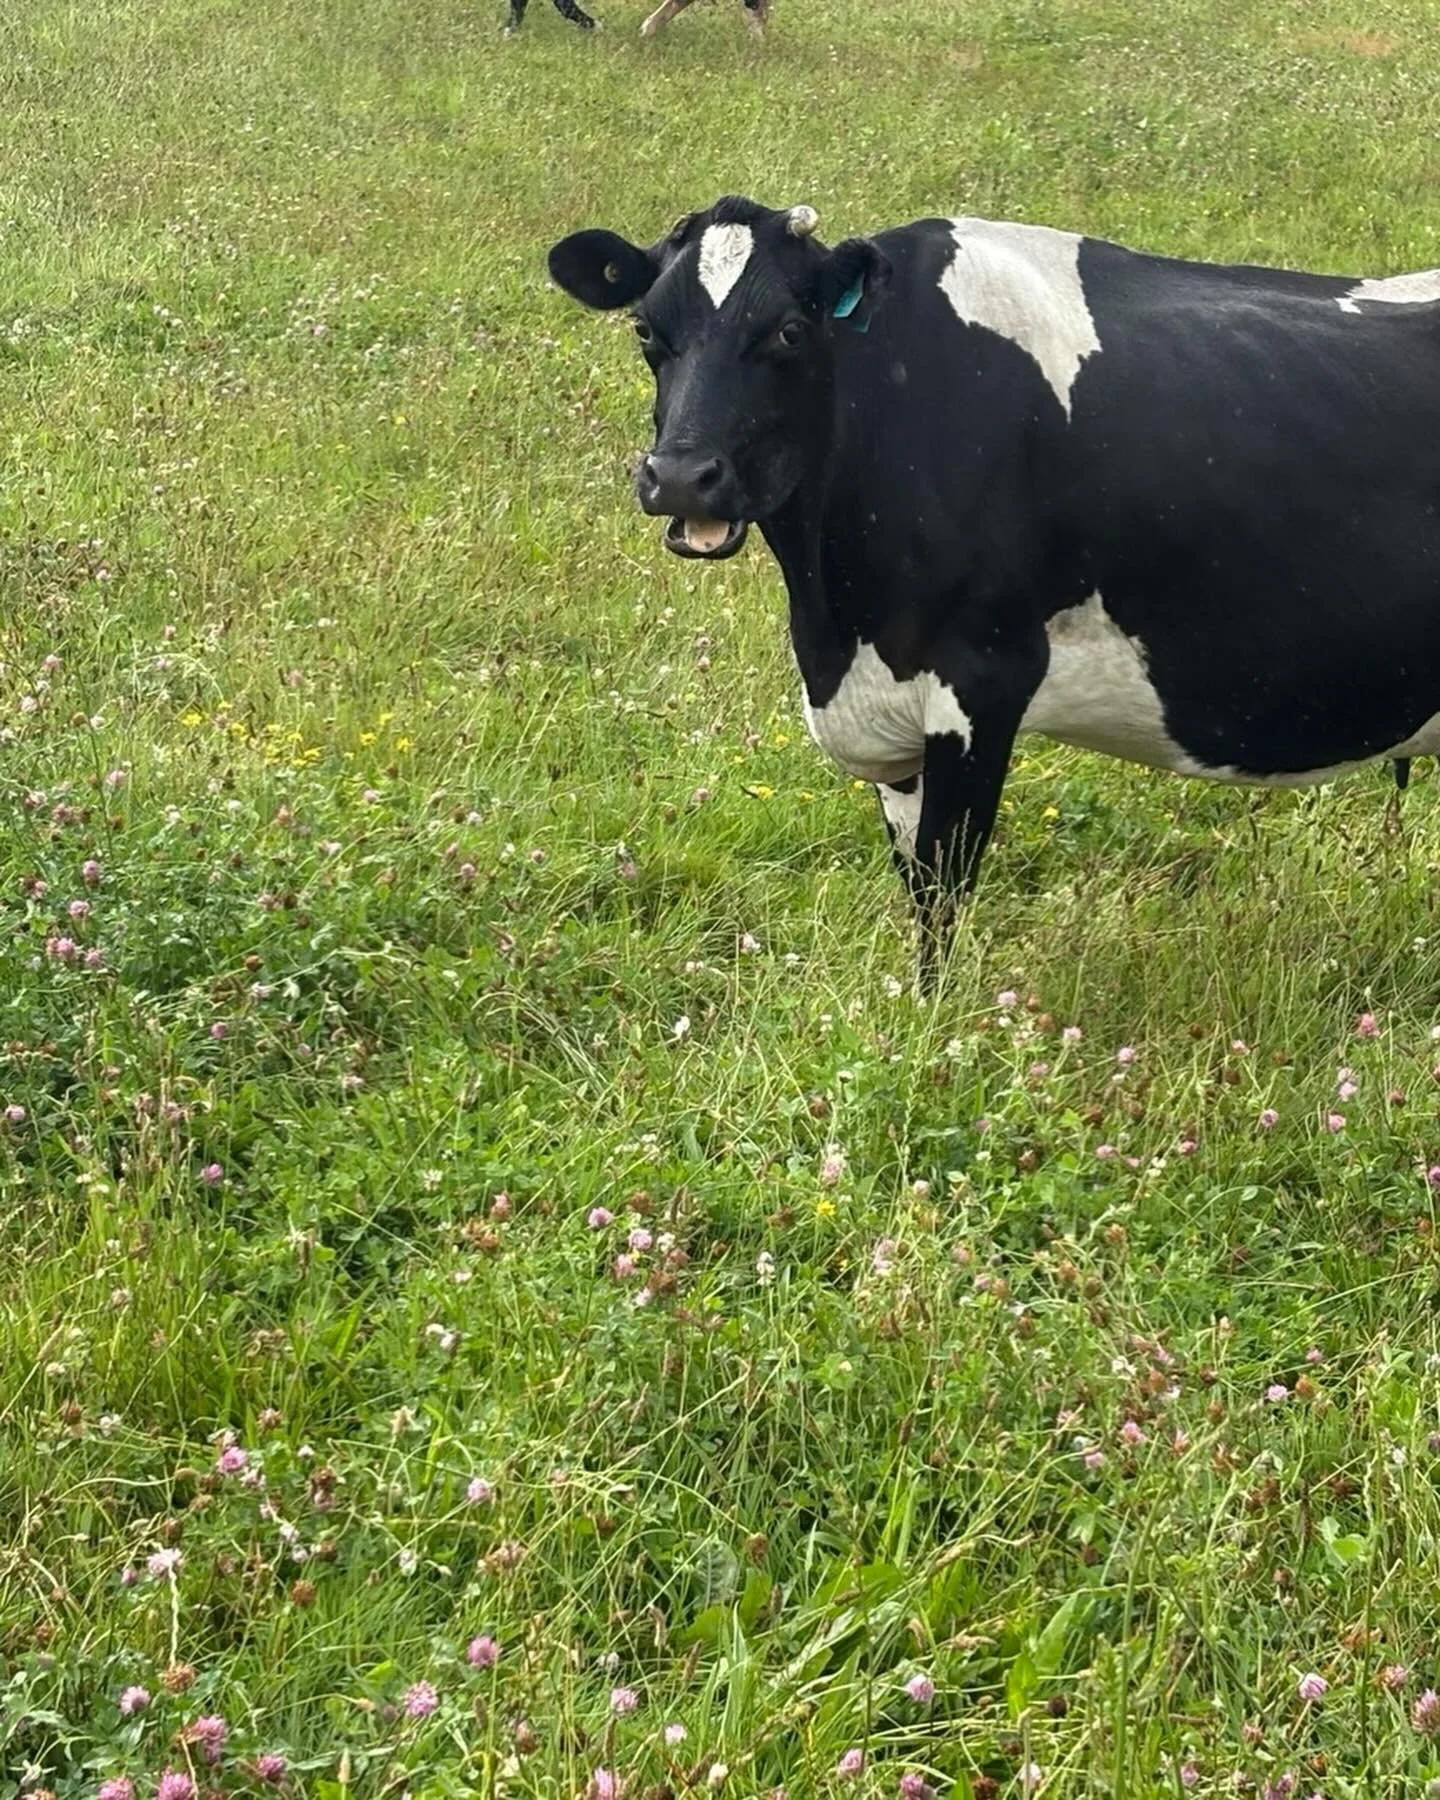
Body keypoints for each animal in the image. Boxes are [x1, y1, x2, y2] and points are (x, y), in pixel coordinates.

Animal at [546, 195, 1440, 980]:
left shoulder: (981, 679)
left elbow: (944, 890)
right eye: (646, 330)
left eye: (789, 331)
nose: (681, 478)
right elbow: (915, 885)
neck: (833, 622)